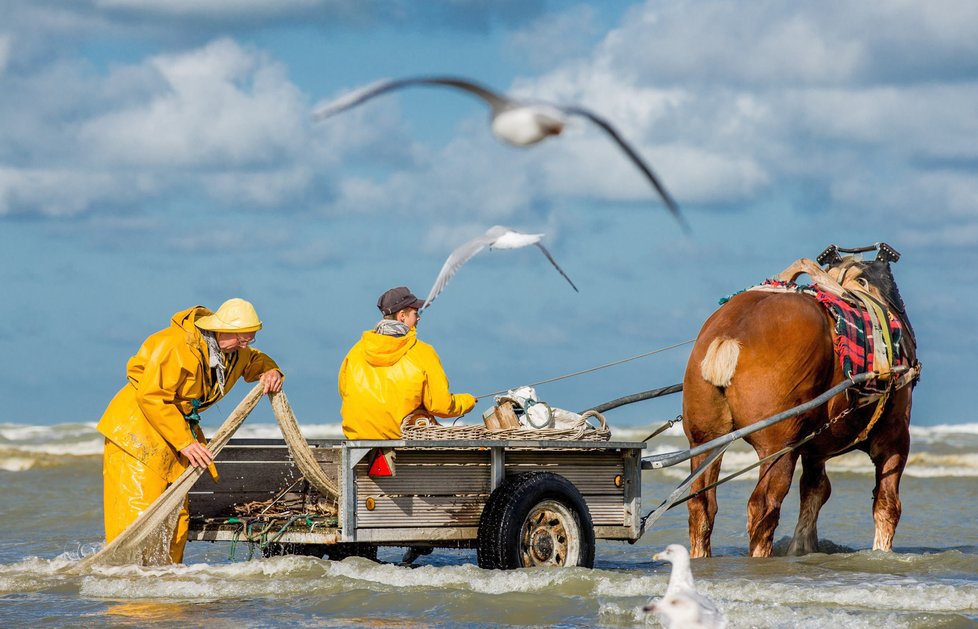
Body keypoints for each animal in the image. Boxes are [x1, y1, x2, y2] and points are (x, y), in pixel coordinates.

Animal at [680, 248, 916, 556]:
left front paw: (802, 547)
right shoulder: (894, 437)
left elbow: (815, 492)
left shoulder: (815, 451)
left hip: (706, 439)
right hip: (778, 447)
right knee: (763, 507)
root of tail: (728, 334)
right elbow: (887, 506)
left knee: (702, 505)